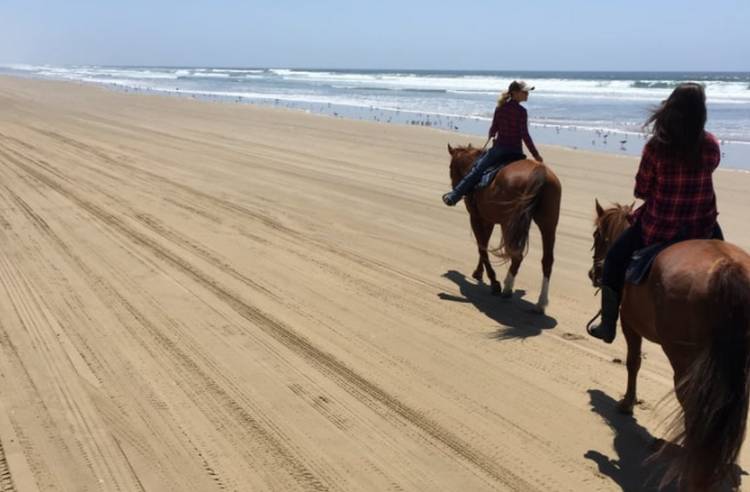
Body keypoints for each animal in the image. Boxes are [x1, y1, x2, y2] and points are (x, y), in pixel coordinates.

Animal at [450, 144, 560, 314]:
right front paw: (479, 273)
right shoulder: (488, 220)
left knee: (516, 255)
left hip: (509, 223)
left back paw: (507, 288)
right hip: (548, 225)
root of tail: (540, 172)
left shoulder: (476, 217)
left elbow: (482, 247)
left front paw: (493, 281)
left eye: (450, 168)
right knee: (547, 260)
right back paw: (541, 303)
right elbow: (484, 244)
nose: (454, 186)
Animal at [592, 201, 750, 492]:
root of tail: (727, 268)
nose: (593, 272)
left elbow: (633, 362)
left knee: (694, 406)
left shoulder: (629, 323)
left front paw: (627, 403)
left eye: (598, 235)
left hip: (685, 361)